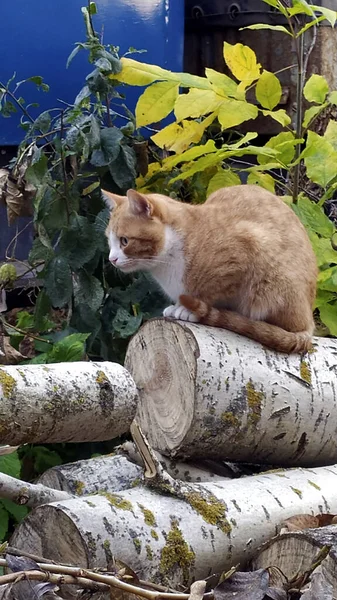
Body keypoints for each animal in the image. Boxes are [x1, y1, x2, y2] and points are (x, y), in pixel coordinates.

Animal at [103, 185, 316, 354]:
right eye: (109, 241)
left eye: (124, 241)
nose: (111, 259)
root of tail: (309, 321)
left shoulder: (245, 251)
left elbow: (211, 295)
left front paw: (188, 310)